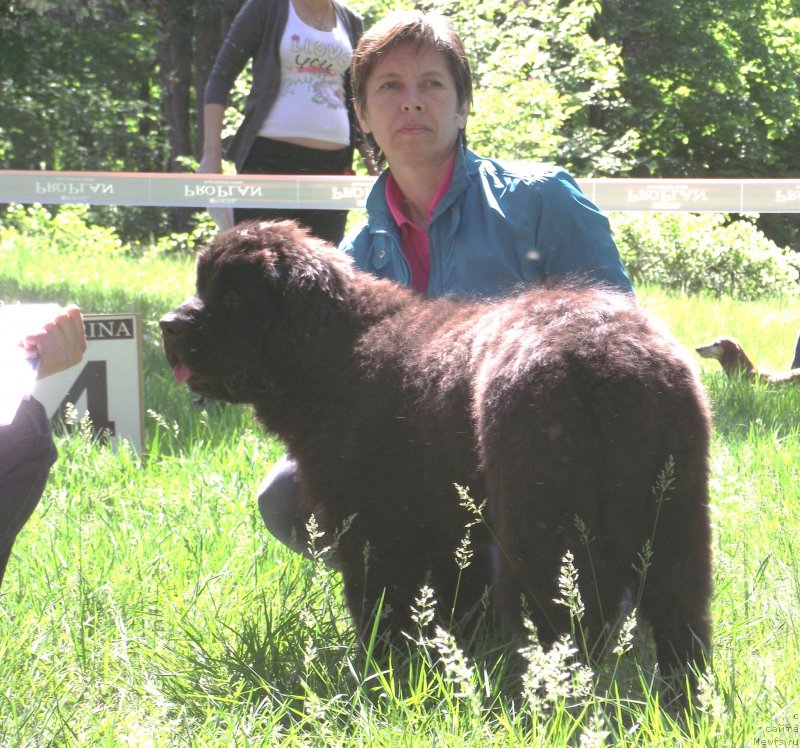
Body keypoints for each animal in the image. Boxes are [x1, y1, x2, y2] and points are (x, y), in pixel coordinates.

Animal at [159, 219, 708, 680]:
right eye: (202, 286)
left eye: (233, 297)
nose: (168, 324)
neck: (335, 353)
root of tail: (610, 357)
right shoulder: (445, 526)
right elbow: (452, 597)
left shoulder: (370, 524)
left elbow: (381, 602)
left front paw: (380, 670)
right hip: (676, 514)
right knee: (681, 613)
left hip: (543, 523)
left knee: (561, 618)